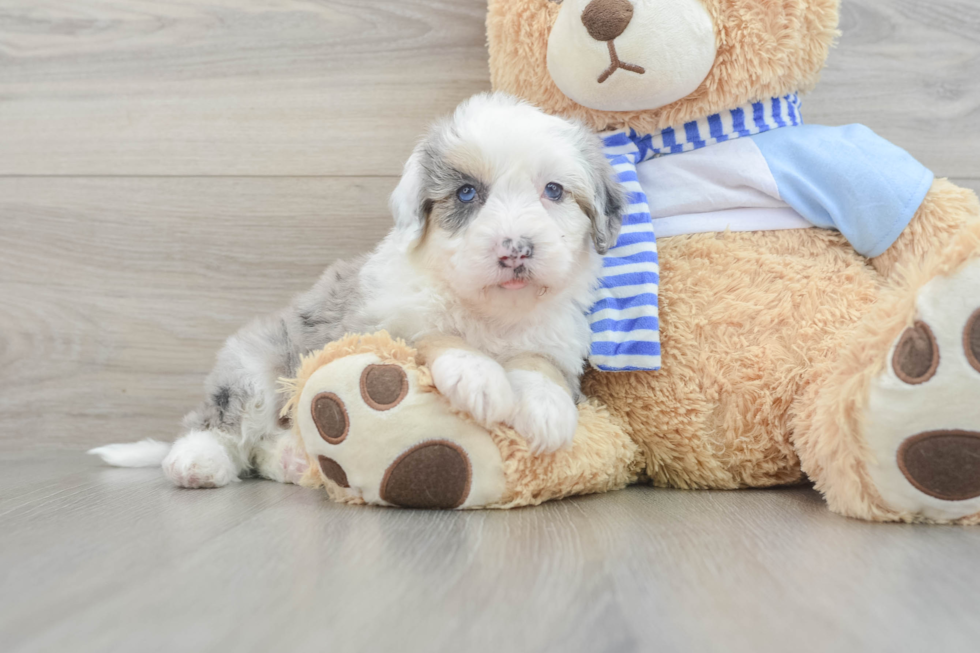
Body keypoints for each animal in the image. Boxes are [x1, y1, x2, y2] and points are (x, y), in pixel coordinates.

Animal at [94, 94, 628, 486]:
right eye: (467, 193)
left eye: (554, 191)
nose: (515, 250)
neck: (490, 312)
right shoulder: (384, 321)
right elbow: (435, 336)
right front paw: (479, 378)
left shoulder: (556, 340)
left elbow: (540, 367)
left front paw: (546, 411)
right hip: (254, 363)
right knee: (219, 422)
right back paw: (196, 462)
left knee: (262, 448)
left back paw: (292, 460)